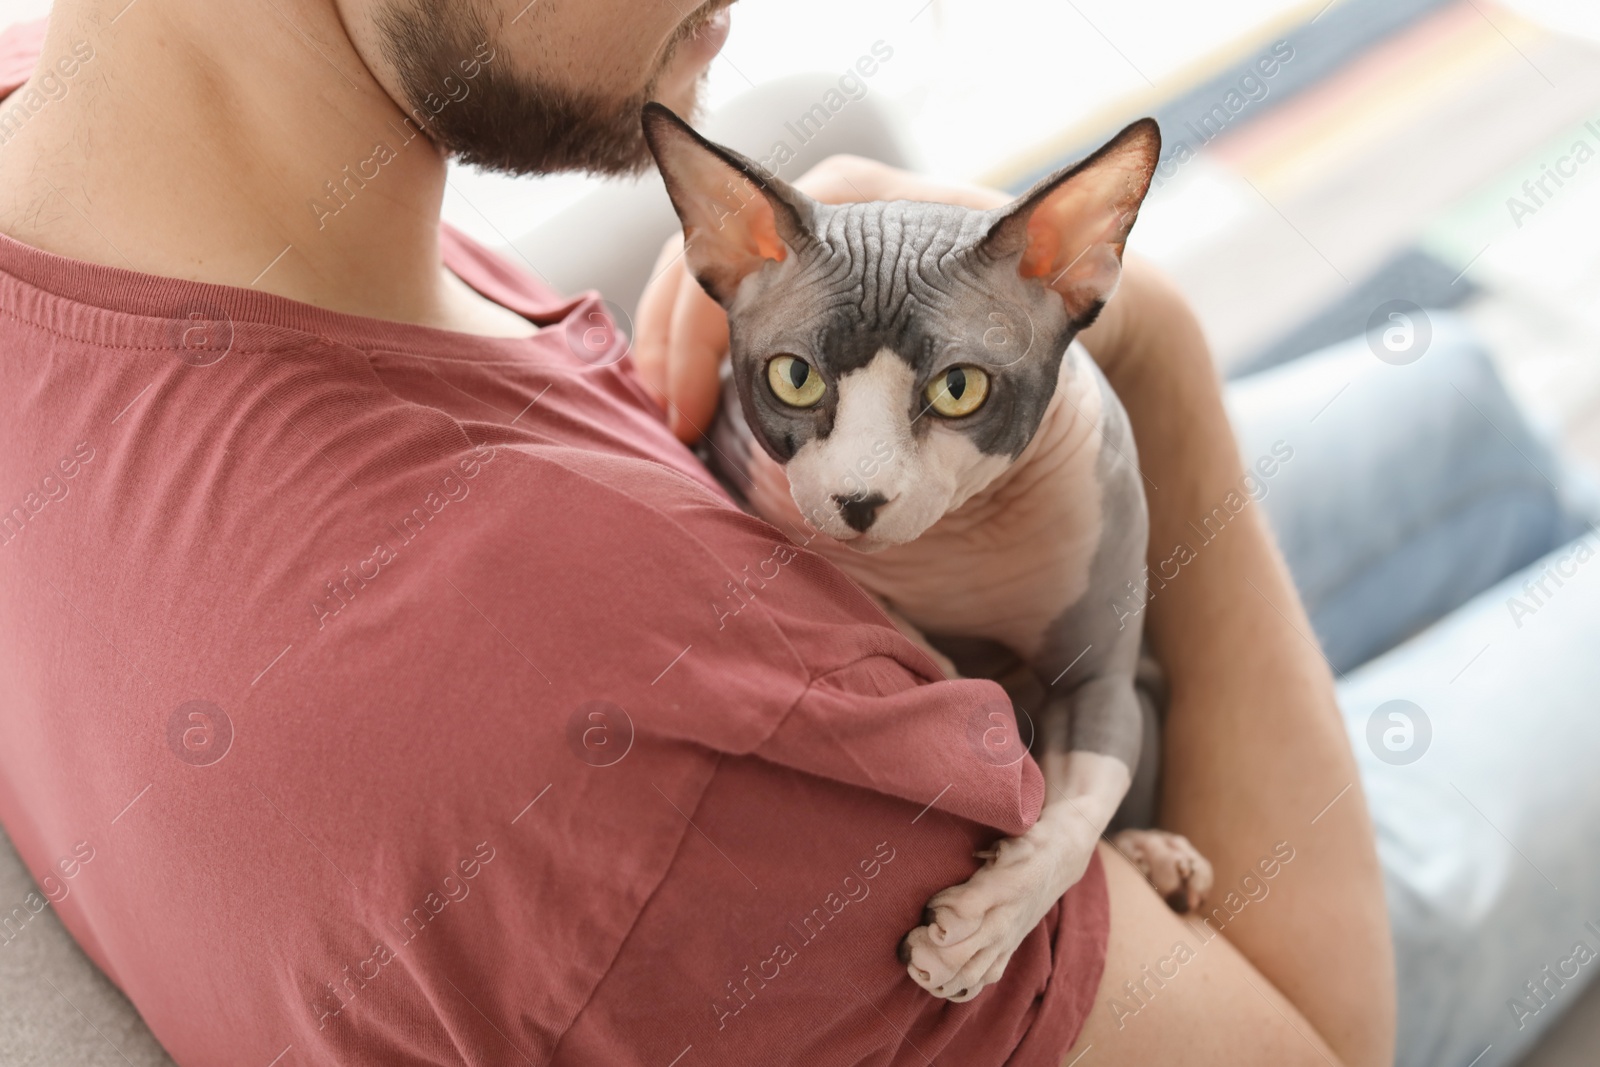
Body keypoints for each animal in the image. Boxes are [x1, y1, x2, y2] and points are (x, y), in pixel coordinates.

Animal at [636, 103, 1209, 1004]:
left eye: (959, 388)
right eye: (794, 377)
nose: (859, 500)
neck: (952, 544)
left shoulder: (1100, 681)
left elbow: (1079, 810)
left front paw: (985, 929)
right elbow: (895, 621)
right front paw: (955, 674)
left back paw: (1160, 855)